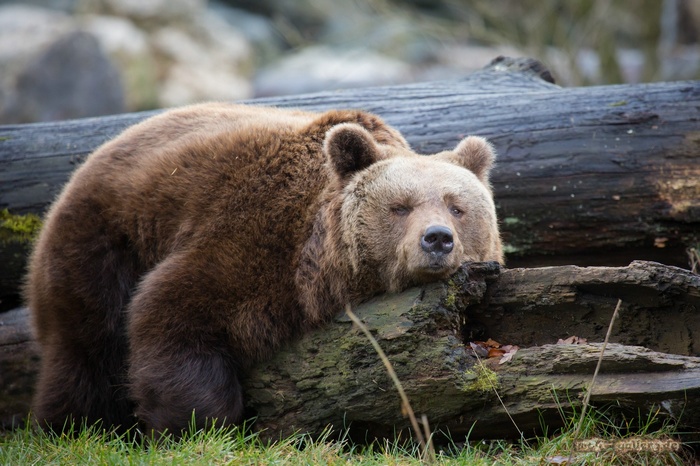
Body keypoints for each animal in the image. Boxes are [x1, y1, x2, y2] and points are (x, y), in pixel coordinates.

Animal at [25, 102, 503, 435]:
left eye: (457, 207)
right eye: (400, 206)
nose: (437, 238)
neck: (318, 264)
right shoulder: (250, 237)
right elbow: (171, 312)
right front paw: (196, 423)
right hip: (104, 240)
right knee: (86, 346)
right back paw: (71, 426)